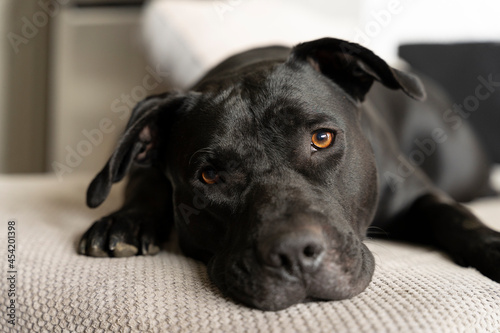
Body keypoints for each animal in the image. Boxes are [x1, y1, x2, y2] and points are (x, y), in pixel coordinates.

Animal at [80, 37, 500, 310]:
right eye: (210, 176)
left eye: (322, 138)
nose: (295, 253)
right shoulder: (144, 167)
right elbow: (144, 185)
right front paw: (124, 222)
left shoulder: (417, 193)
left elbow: (453, 215)